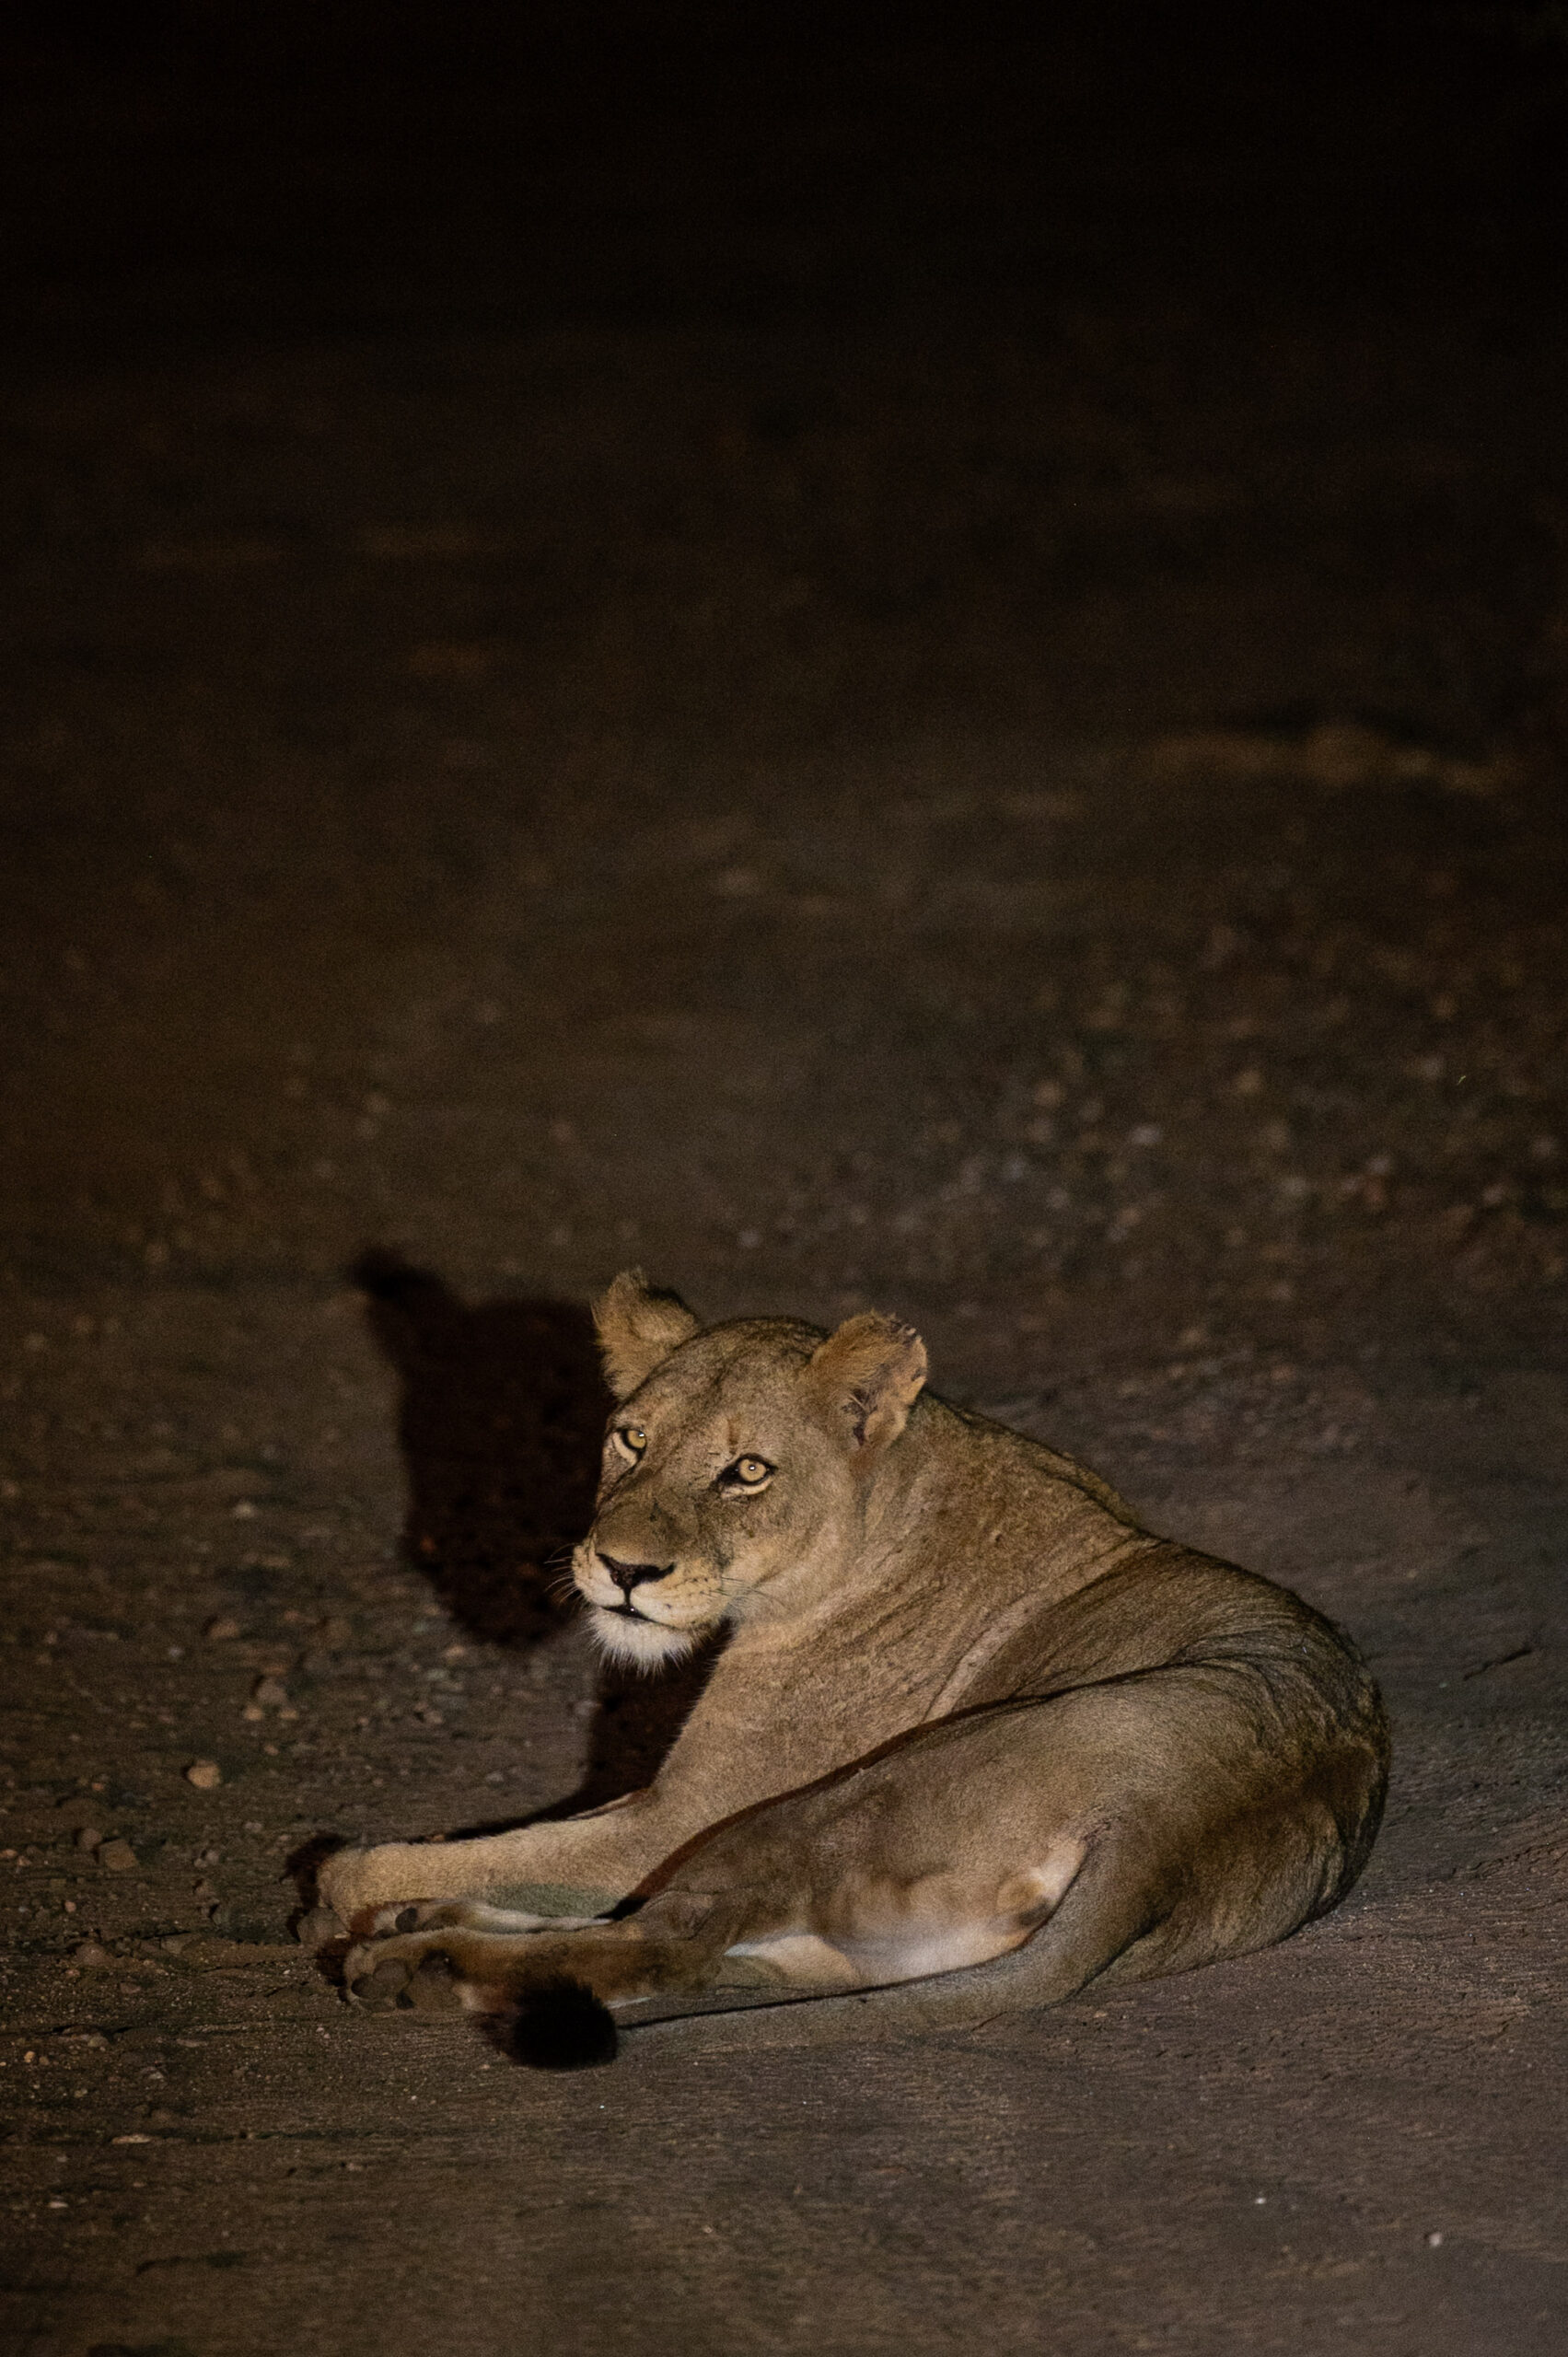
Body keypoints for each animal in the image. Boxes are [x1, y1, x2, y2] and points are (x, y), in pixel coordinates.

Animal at [320, 1271, 1389, 2064]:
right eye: (631, 1438)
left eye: (746, 1471)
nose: (621, 1570)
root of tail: (1171, 1830)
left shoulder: (683, 1813)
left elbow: (474, 1854)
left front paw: (344, 1879)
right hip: (885, 1946)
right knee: (704, 1964)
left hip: (832, 1805)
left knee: (661, 1941)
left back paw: (411, 1959)